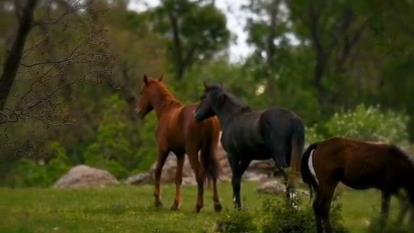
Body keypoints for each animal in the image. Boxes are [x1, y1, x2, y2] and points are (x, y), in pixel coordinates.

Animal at [136, 75, 222, 212]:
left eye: (141, 92)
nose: (138, 111)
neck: (167, 111)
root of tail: (207, 118)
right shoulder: (180, 154)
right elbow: (178, 178)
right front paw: (175, 204)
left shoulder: (163, 149)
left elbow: (158, 171)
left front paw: (158, 201)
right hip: (209, 150)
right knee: (213, 173)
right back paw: (217, 205)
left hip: (193, 152)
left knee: (199, 174)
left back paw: (198, 205)